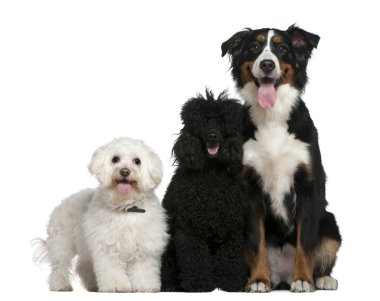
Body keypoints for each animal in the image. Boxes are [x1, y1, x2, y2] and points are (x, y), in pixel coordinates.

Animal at [33, 137, 168, 292]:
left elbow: (143, 269)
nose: (124, 171)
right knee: (59, 266)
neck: (126, 208)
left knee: (83, 265)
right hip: (62, 244)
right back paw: (60, 284)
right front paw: (117, 286)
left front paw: (144, 285)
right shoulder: (106, 247)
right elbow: (112, 270)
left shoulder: (145, 247)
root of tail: (61, 203)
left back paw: (92, 284)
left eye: (137, 161)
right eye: (115, 159)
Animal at [160, 89, 251, 290]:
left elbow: (230, 258)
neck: (212, 174)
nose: (212, 135)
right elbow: (195, 259)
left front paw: (231, 282)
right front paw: (198, 284)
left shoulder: (231, 226)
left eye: (222, 122)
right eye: (202, 122)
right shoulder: (190, 228)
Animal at [221, 24, 342, 292]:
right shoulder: (250, 190)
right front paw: (258, 280)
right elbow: (256, 241)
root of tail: (282, 276)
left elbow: (305, 242)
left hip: (329, 222)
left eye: (282, 48)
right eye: (254, 47)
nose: (267, 64)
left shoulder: (309, 188)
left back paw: (322, 278)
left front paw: (303, 279)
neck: (272, 117)